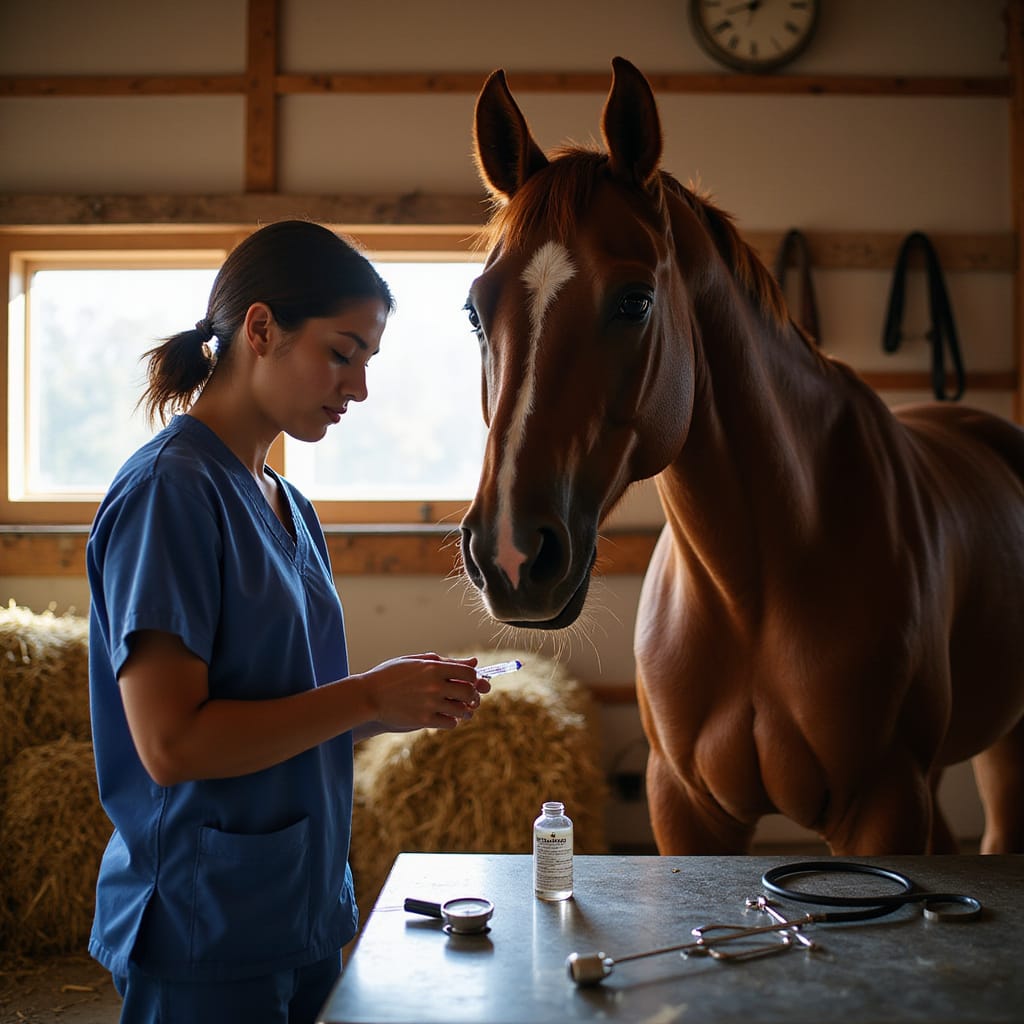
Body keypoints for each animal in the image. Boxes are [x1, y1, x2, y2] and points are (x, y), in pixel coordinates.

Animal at [459, 57, 1024, 856]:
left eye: (635, 302)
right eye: (476, 309)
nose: (509, 554)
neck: (754, 588)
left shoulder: (884, 804)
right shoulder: (685, 806)